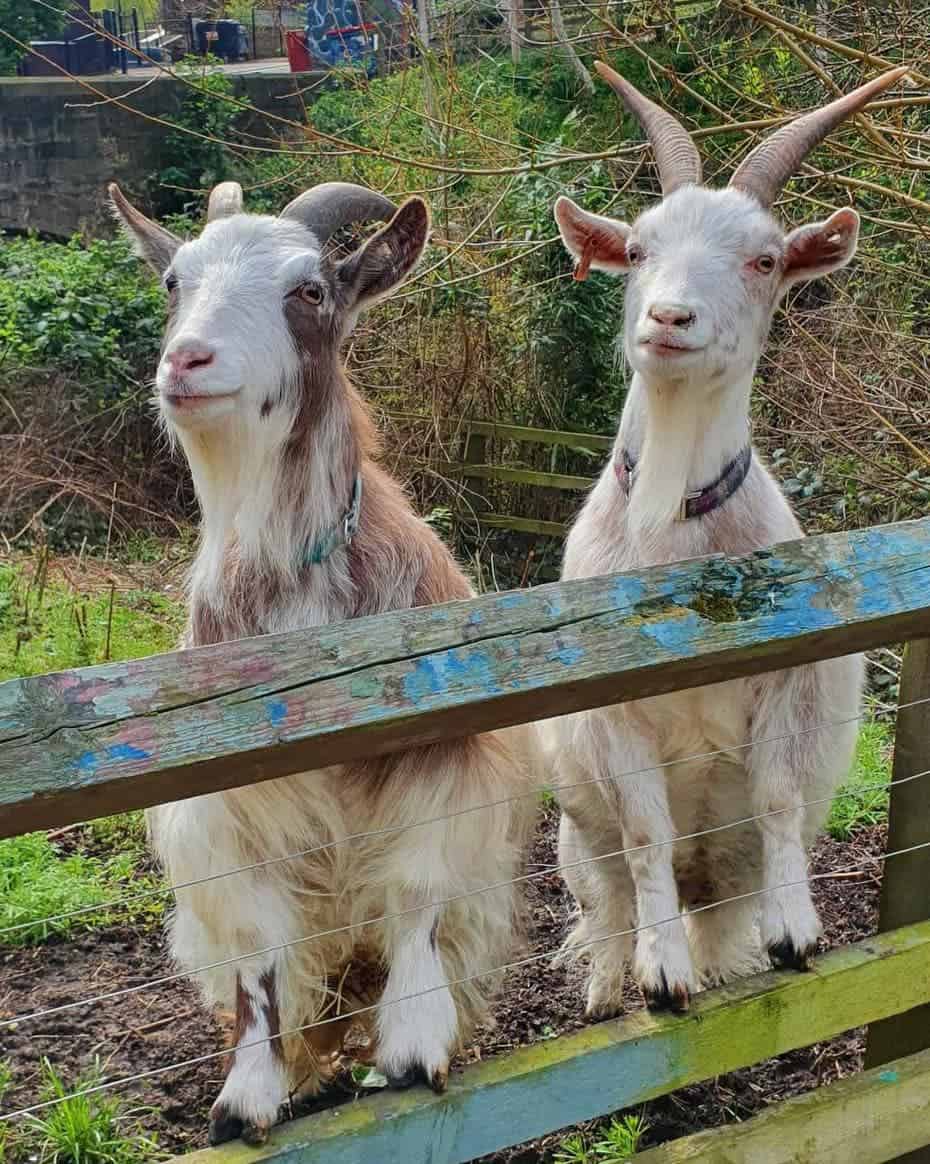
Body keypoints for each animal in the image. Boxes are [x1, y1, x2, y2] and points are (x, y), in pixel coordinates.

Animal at [109, 181, 535, 1145]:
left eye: (308, 288)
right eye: (173, 281)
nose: (187, 361)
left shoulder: (440, 759)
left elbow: (417, 893)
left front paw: (415, 1047)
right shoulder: (230, 811)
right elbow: (258, 951)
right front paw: (246, 1097)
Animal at [549, 63, 907, 1015]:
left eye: (766, 259)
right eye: (638, 250)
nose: (670, 319)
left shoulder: (792, 684)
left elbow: (779, 800)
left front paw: (796, 931)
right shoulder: (612, 719)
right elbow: (643, 831)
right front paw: (660, 976)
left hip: (726, 867)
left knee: (723, 900)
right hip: (573, 838)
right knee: (606, 898)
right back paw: (609, 986)